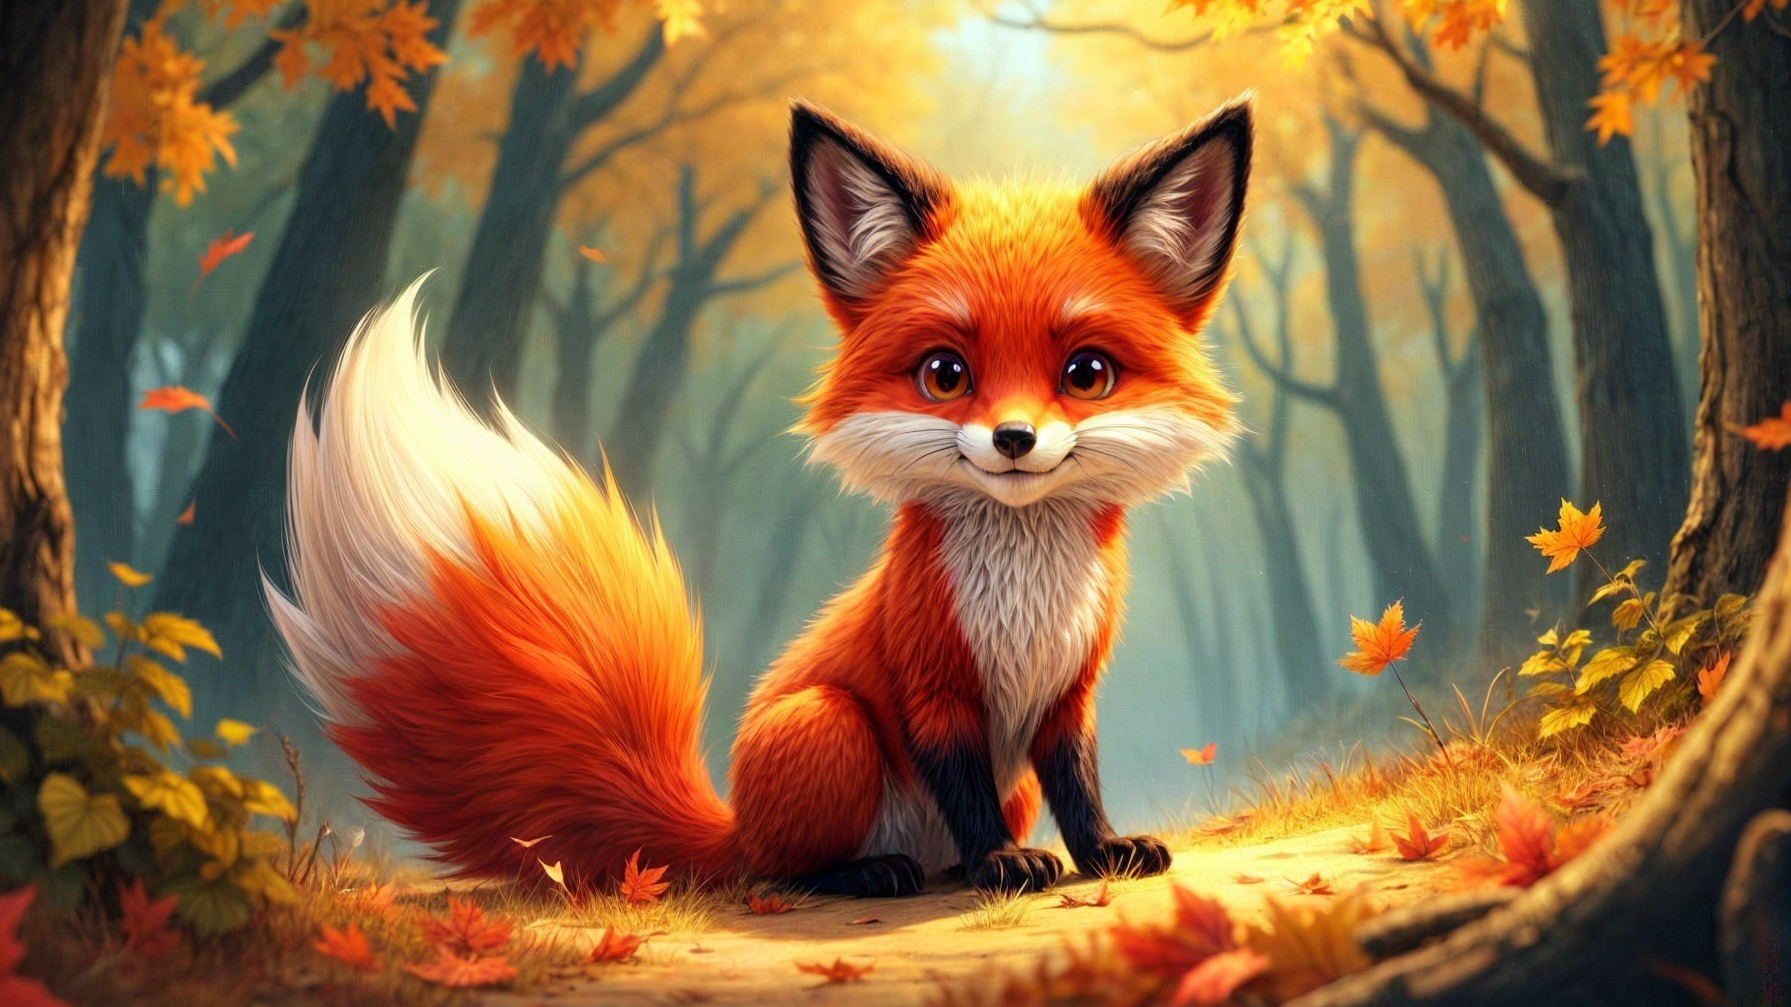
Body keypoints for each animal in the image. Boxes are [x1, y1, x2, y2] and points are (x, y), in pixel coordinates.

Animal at [266, 97, 1251, 898]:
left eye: (1086, 374)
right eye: (944, 374)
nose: (1013, 440)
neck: (1023, 599)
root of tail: (731, 822)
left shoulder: (1068, 693)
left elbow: (1079, 789)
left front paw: (1105, 851)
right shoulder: (934, 687)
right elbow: (966, 789)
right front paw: (1004, 868)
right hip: (830, 726)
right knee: (787, 868)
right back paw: (871, 871)